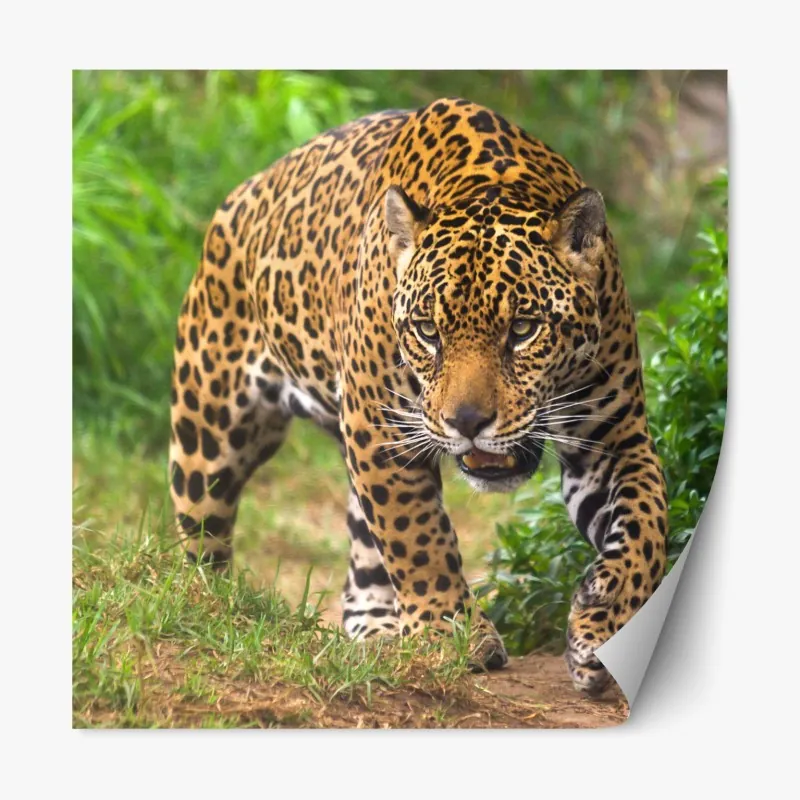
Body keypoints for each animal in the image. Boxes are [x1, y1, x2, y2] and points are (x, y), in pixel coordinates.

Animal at [168, 96, 668, 695]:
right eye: (429, 331)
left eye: (523, 329)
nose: (468, 421)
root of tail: (242, 194)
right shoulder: (380, 427)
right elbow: (417, 535)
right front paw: (451, 633)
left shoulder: (614, 437)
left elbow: (647, 526)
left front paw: (605, 622)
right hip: (210, 433)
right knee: (202, 537)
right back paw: (208, 609)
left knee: (364, 556)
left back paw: (380, 632)